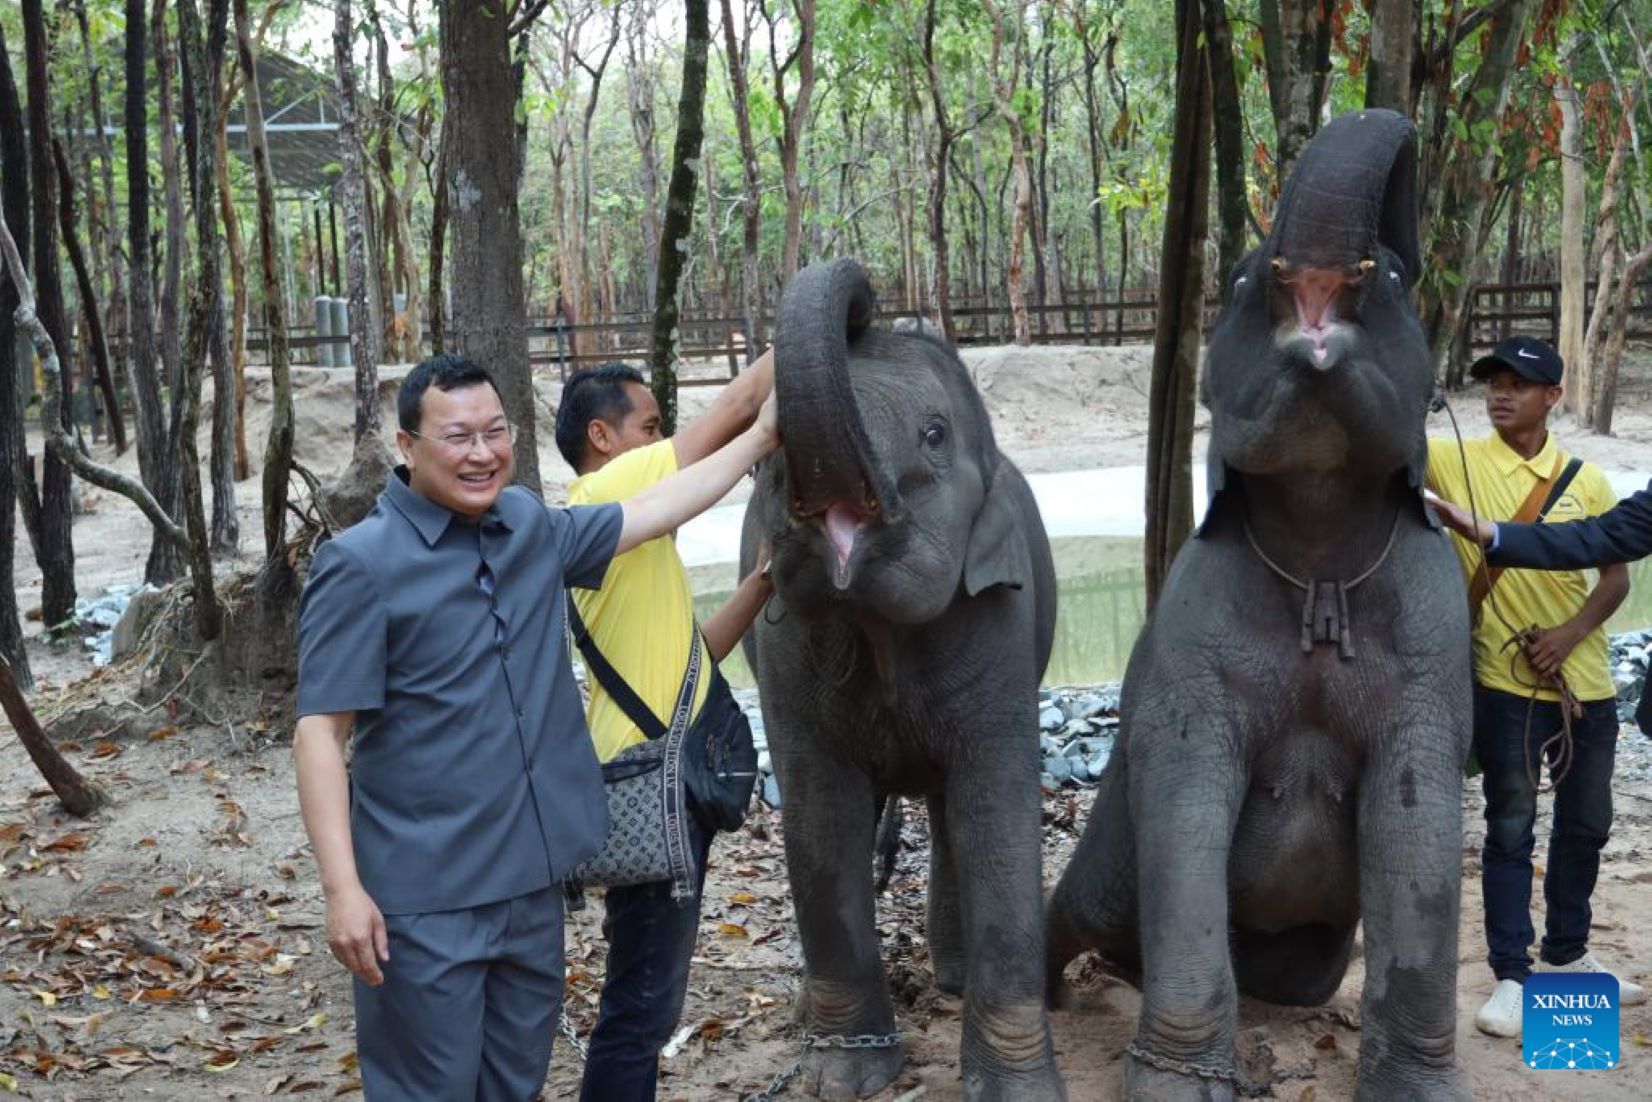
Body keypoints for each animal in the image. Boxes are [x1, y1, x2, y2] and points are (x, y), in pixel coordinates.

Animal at [743, 261, 1063, 1102]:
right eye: (766, 446)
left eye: (934, 433)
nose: (869, 305)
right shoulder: (787, 660)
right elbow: (821, 819)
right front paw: (843, 1076)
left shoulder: (1002, 625)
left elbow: (996, 815)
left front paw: (1017, 1090)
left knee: (952, 813)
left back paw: (951, 980)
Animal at [1044, 105, 1473, 1102]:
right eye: (1241, 278)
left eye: (1395, 279)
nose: (1309, 270)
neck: (1317, 556)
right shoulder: (1190, 630)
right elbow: (1187, 799)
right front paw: (1173, 1087)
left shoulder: (1436, 636)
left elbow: (1418, 821)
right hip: (1102, 861)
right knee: (1083, 904)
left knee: (1297, 974)